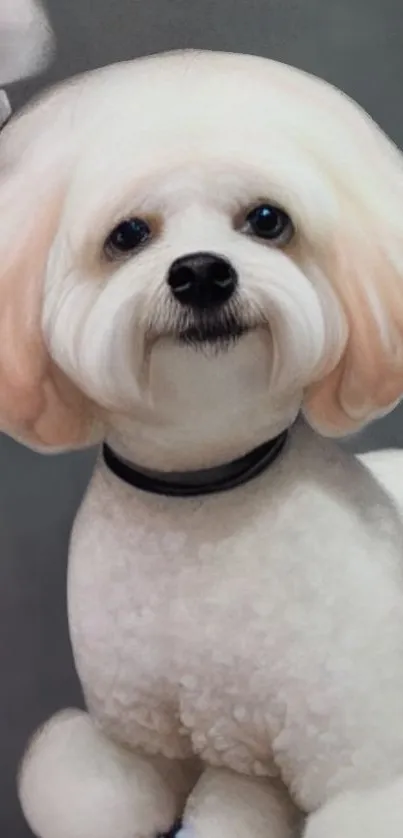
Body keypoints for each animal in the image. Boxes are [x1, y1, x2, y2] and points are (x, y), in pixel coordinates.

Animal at [3, 49, 403, 836]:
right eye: (128, 234)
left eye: (267, 220)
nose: (200, 272)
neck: (200, 490)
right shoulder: (146, 737)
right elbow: (115, 787)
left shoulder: (362, 761)